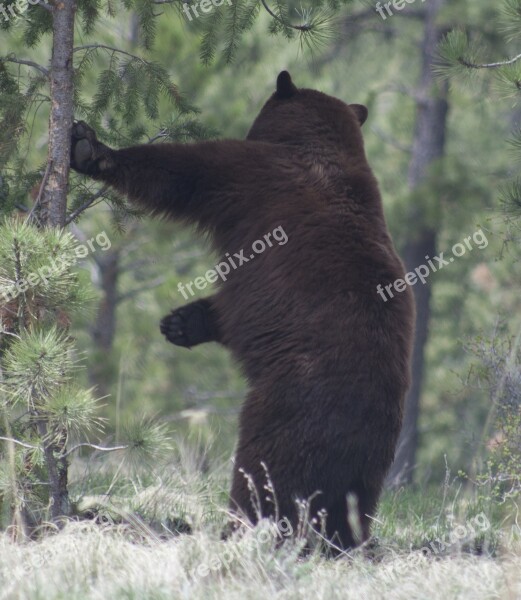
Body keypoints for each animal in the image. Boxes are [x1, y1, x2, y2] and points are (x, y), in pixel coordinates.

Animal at [70, 71, 414, 552]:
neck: (318, 146)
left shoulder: (253, 177)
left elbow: (184, 172)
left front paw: (88, 147)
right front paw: (181, 323)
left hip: (288, 405)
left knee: (266, 471)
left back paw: (241, 528)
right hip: (369, 465)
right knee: (352, 502)